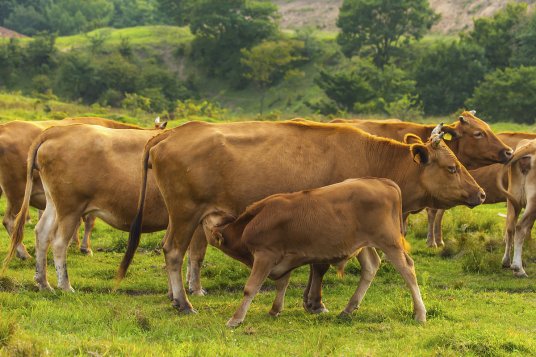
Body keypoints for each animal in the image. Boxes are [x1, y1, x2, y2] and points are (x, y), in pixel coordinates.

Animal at [3, 124, 168, 290]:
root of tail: (57, 130)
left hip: (53, 203)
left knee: (42, 233)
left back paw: (43, 283)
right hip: (67, 207)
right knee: (58, 242)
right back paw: (65, 285)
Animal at [203, 177, 426, 326]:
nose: (205, 217)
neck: (252, 222)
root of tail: (382, 182)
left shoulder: (266, 254)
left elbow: (251, 288)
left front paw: (236, 319)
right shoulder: (282, 258)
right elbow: (282, 283)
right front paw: (275, 310)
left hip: (389, 241)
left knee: (407, 269)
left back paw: (420, 314)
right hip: (363, 244)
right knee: (371, 266)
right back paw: (348, 309)